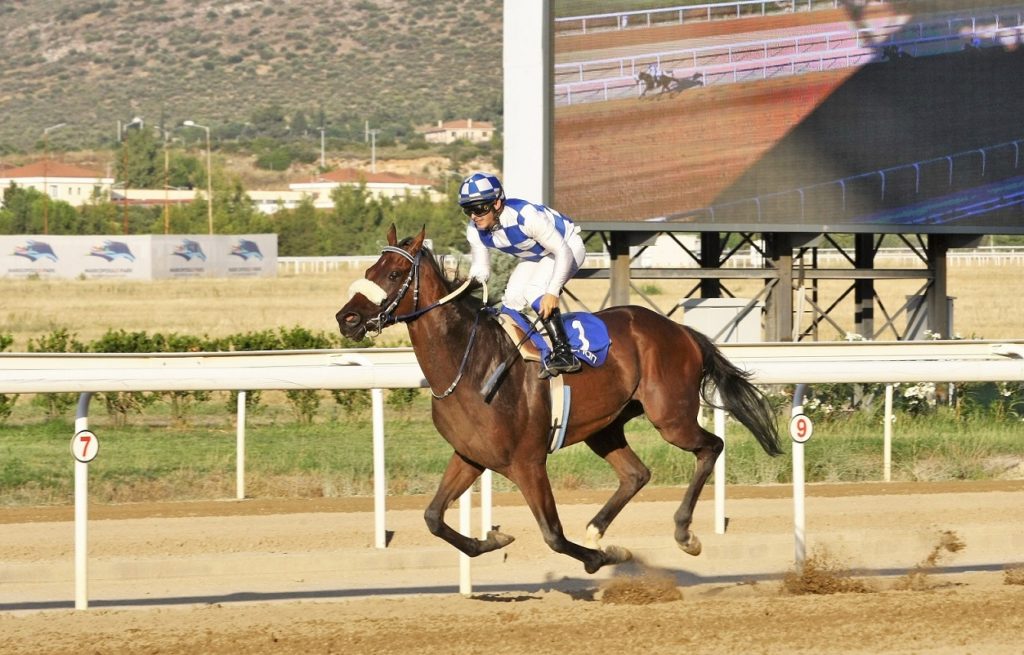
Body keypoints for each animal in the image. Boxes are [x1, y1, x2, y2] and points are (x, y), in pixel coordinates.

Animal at [331, 226, 778, 573]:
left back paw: (684, 533)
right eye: (369, 270)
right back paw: (597, 530)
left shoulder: (527, 462)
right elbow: (432, 518)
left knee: (710, 447)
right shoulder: (470, 455)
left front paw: (602, 558)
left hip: (671, 416)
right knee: (636, 474)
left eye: (394, 273)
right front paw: (492, 541)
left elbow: (553, 535)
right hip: (605, 426)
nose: (346, 318)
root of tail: (683, 331)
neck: (469, 363)